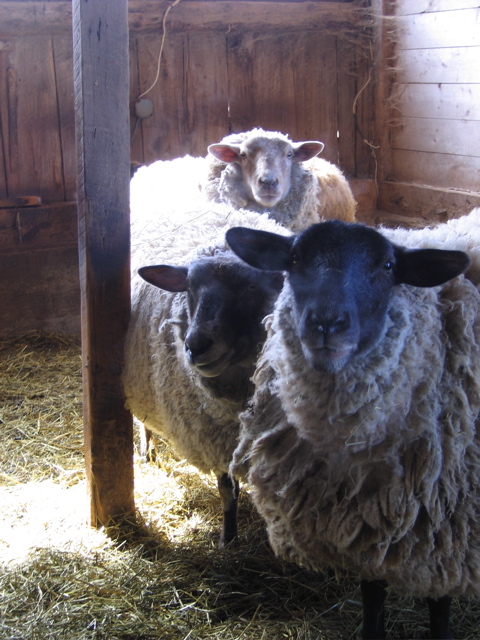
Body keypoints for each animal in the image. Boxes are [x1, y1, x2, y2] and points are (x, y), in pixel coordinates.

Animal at [124, 199, 289, 545]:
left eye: (251, 286)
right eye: (188, 287)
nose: (195, 345)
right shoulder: (214, 441)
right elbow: (227, 491)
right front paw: (229, 537)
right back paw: (147, 453)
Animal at [226, 219, 480, 639]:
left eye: (389, 266)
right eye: (295, 258)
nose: (327, 324)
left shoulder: (448, 535)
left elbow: (439, 607)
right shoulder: (364, 525)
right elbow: (372, 596)